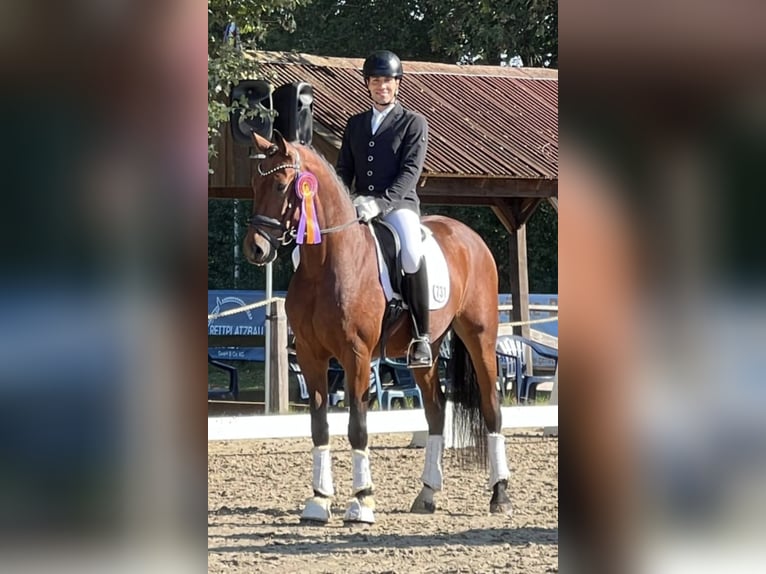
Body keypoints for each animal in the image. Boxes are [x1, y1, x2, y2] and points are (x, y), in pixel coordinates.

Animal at [243, 132, 512, 528]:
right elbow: (319, 425)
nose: (255, 249)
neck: (325, 265)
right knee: (436, 410)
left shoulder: (355, 356)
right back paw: (427, 494)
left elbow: (357, 426)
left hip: (480, 336)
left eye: (279, 185)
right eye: (253, 185)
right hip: (427, 352)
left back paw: (499, 494)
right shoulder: (310, 355)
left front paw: (361, 503)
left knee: (491, 406)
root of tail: (469, 237)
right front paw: (319, 501)